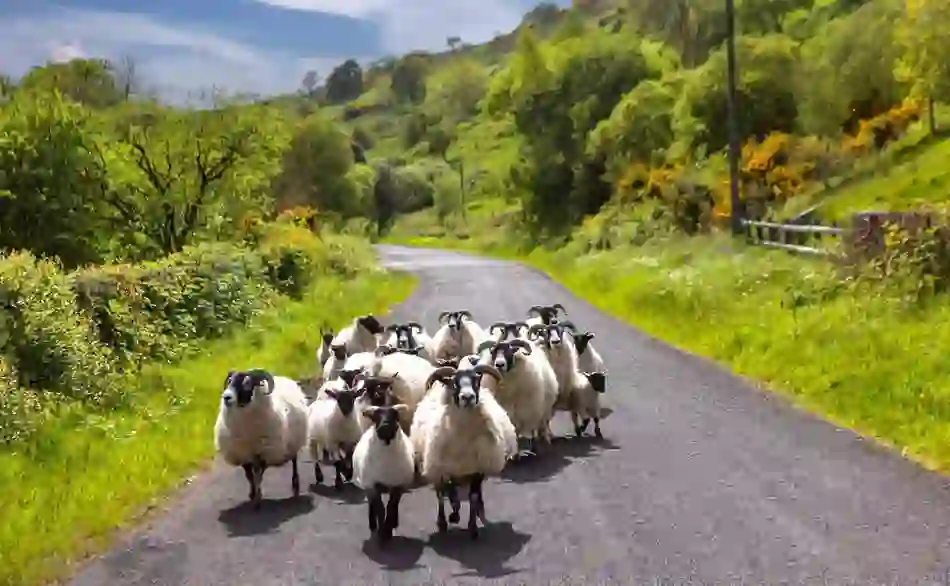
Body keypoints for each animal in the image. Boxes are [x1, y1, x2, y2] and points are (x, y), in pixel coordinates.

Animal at [214, 369, 309, 509]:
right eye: (229, 381)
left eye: (247, 383)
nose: (226, 397)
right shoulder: (243, 454)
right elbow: (249, 476)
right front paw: (253, 494)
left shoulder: (263, 452)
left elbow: (258, 475)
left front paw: (257, 499)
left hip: (293, 442)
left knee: (294, 461)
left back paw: (295, 485)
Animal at [352, 404, 415, 544]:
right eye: (375, 417)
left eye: (395, 415)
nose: (384, 427)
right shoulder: (373, 485)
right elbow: (380, 508)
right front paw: (381, 532)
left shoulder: (399, 485)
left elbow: (391, 506)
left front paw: (387, 530)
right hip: (367, 485)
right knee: (371, 504)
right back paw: (373, 525)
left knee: (394, 505)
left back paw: (394, 523)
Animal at [411, 364, 516, 539]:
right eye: (455, 383)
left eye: (476, 381)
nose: (468, 397)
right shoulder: (444, 468)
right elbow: (447, 495)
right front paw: (448, 519)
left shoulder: (477, 468)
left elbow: (472, 496)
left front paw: (472, 527)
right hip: (436, 465)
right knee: (444, 492)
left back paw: (478, 509)